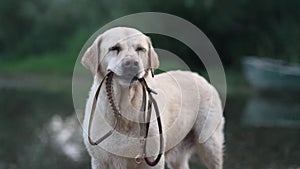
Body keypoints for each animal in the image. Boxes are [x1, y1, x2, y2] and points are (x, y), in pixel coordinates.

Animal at [81, 27, 224, 168]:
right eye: (114, 48)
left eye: (140, 49)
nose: (131, 63)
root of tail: (199, 76)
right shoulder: (99, 161)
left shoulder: (153, 159)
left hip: (209, 144)